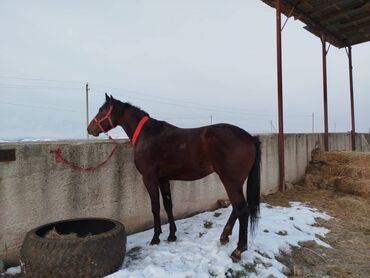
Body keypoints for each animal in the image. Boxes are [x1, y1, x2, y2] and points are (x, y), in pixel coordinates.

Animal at [87, 94, 262, 262]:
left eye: (102, 110)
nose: (90, 128)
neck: (147, 135)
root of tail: (250, 138)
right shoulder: (163, 179)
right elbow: (168, 205)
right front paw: (172, 235)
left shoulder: (149, 178)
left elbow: (155, 207)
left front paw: (156, 237)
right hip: (235, 183)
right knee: (236, 208)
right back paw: (225, 236)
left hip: (230, 182)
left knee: (242, 209)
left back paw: (238, 250)